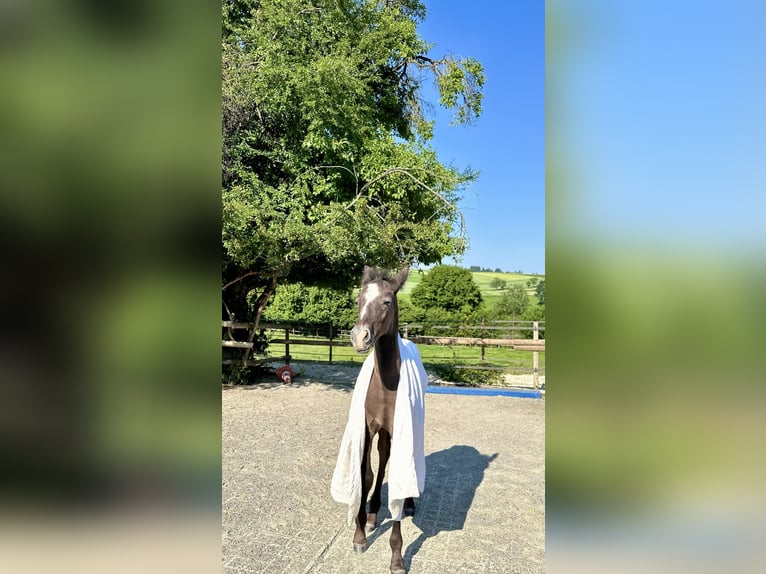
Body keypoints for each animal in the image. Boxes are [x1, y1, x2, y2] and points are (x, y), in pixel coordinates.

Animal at [344, 265, 425, 574]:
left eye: (387, 302)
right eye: (358, 300)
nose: (359, 337)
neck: (387, 382)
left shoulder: (402, 428)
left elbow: (400, 483)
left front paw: (397, 559)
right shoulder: (368, 428)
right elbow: (365, 475)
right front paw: (359, 536)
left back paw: (410, 504)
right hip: (383, 432)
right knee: (382, 460)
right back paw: (371, 515)